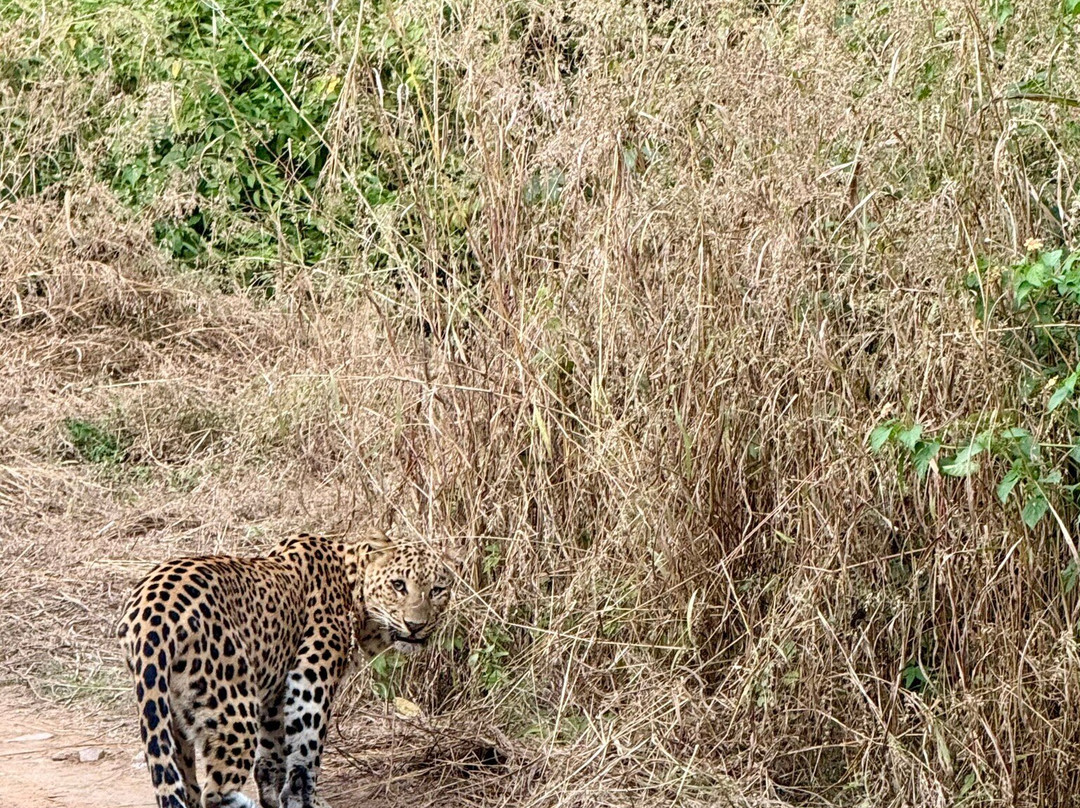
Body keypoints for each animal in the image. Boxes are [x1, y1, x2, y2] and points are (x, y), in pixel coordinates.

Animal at [116, 530, 457, 808]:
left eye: (438, 590)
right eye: (398, 585)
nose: (416, 625)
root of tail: (149, 615)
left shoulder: (274, 693)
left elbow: (273, 749)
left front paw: (274, 792)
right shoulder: (310, 678)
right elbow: (307, 747)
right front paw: (304, 798)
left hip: (169, 714)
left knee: (185, 783)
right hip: (233, 709)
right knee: (216, 791)